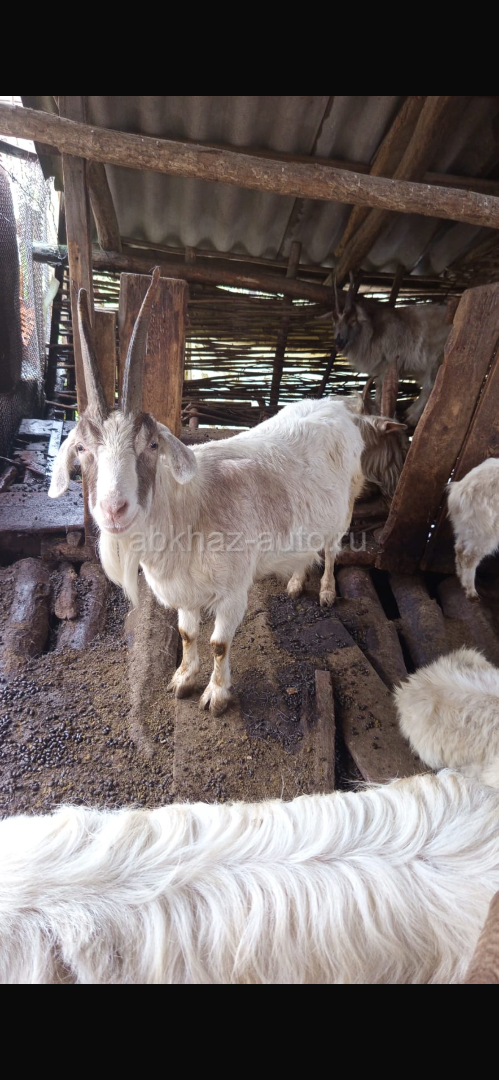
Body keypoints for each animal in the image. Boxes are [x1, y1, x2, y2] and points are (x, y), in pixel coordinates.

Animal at [48, 268, 405, 715]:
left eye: (152, 445)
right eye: (81, 448)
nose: (114, 509)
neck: (190, 511)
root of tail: (341, 409)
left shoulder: (234, 589)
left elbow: (219, 642)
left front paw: (216, 694)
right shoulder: (184, 591)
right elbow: (187, 634)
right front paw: (183, 678)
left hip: (345, 507)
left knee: (332, 548)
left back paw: (325, 591)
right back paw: (294, 582)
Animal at [325, 274, 453, 426]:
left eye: (352, 320)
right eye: (334, 321)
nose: (338, 342)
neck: (372, 332)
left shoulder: (388, 362)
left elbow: (381, 387)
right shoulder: (379, 368)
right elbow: (378, 386)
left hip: (437, 357)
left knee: (431, 385)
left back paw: (411, 416)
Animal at [446, 458, 499, 600]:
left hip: (467, 527)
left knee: (459, 548)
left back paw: (460, 577)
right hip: (487, 531)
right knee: (469, 557)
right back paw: (471, 592)